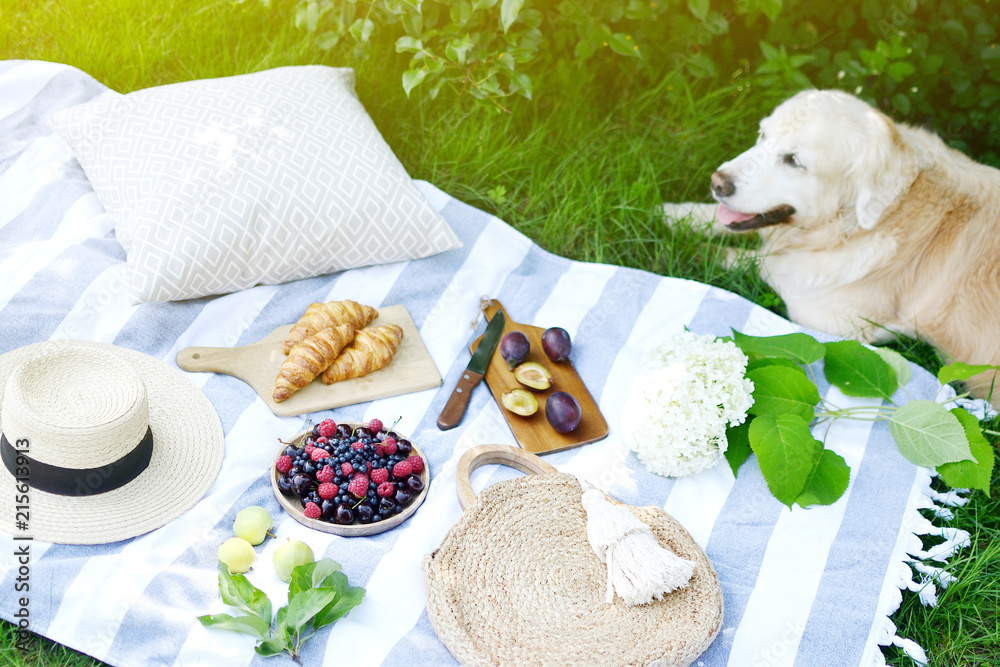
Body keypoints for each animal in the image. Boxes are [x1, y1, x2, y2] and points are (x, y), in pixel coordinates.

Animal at [664, 90, 1000, 404]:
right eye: (763, 135)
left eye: (794, 161)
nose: (717, 182)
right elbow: (718, 221)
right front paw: (669, 213)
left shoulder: (827, 318)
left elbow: (757, 262)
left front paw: (688, 248)